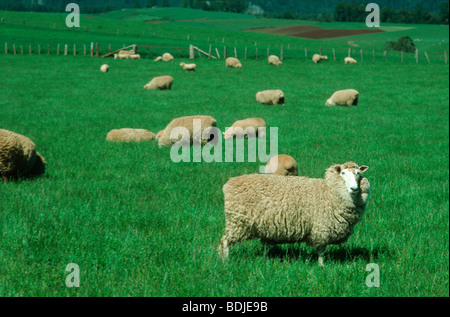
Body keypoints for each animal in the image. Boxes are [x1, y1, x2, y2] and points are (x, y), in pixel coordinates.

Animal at [217, 162, 370, 266]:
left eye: (358, 174)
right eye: (343, 173)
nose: (354, 188)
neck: (328, 192)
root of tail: (229, 183)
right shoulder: (321, 229)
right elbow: (321, 250)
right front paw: (322, 266)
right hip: (237, 222)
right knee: (225, 241)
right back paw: (225, 261)